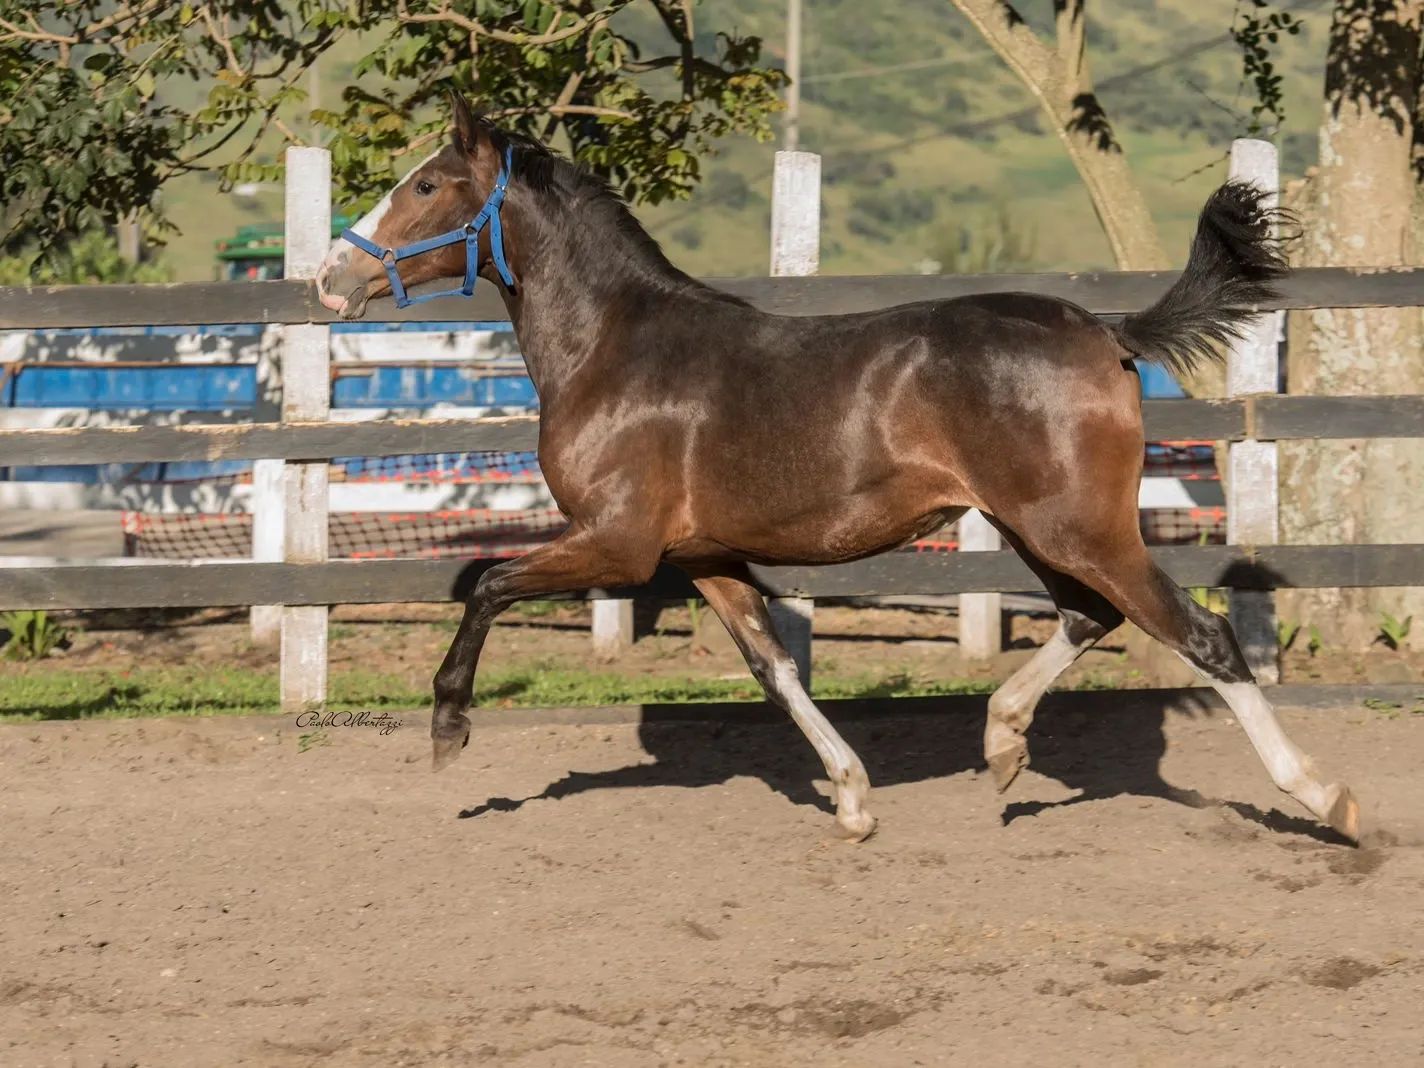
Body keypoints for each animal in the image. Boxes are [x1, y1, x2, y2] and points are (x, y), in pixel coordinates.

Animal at [316, 94, 1359, 844]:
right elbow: (775, 668)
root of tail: (1107, 332)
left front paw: (448, 729)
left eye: (425, 186)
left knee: (1200, 634)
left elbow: (489, 584)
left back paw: (1325, 798)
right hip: (1040, 527)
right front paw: (854, 800)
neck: (615, 349)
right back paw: (1003, 743)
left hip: (1078, 527)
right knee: (1091, 617)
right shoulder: (703, 557)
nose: (331, 277)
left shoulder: (617, 545)